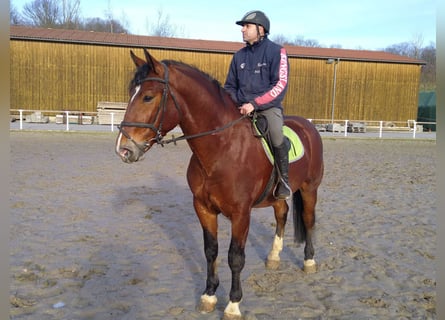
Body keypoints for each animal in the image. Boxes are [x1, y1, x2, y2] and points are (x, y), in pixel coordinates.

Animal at [114, 48, 322, 318]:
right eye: (132, 93)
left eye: (148, 97)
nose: (123, 149)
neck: (222, 148)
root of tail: (309, 126)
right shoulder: (203, 208)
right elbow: (210, 251)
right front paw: (209, 295)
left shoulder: (241, 214)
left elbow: (235, 257)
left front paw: (233, 305)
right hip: (276, 195)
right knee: (282, 213)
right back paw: (274, 257)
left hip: (310, 189)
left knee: (308, 220)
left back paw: (309, 261)